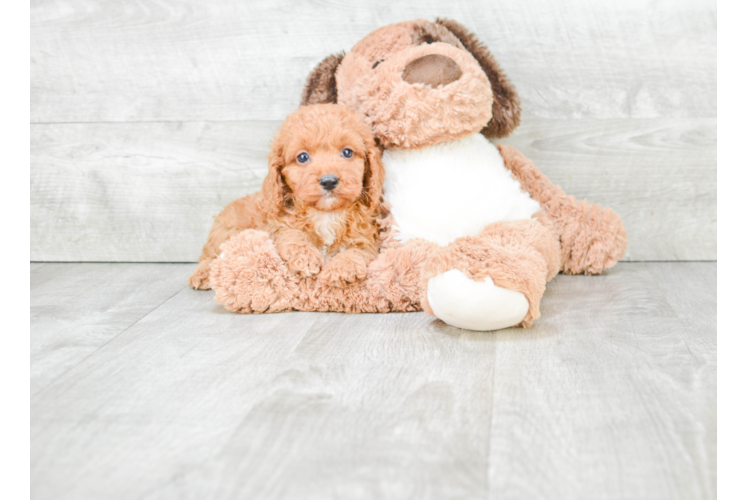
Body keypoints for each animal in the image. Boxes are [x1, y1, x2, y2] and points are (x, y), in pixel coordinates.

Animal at [187, 104, 386, 290]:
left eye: (347, 152)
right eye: (303, 157)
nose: (329, 181)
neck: (325, 213)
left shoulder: (366, 237)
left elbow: (358, 250)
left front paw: (342, 268)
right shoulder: (274, 226)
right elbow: (291, 233)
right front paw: (305, 256)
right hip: (223, 232)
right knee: (211, 256)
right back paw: (202, 274)